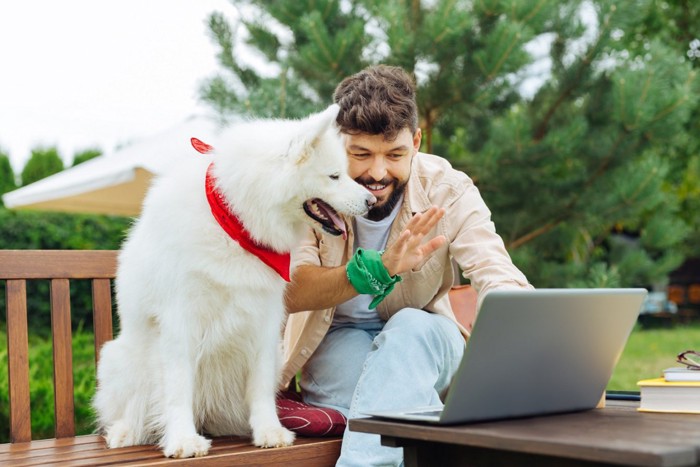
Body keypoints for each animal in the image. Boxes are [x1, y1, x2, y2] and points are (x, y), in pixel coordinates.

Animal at [97, 105, 378, 458]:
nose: (371, 201)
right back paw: (125, 432)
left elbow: (260, 386)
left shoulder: (264, 320)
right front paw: (183, 440)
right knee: (131, 409)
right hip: (118, 358)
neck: (237, 224)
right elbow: (177, 388)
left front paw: (269, 430)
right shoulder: (180, 321)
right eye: (334, 176)